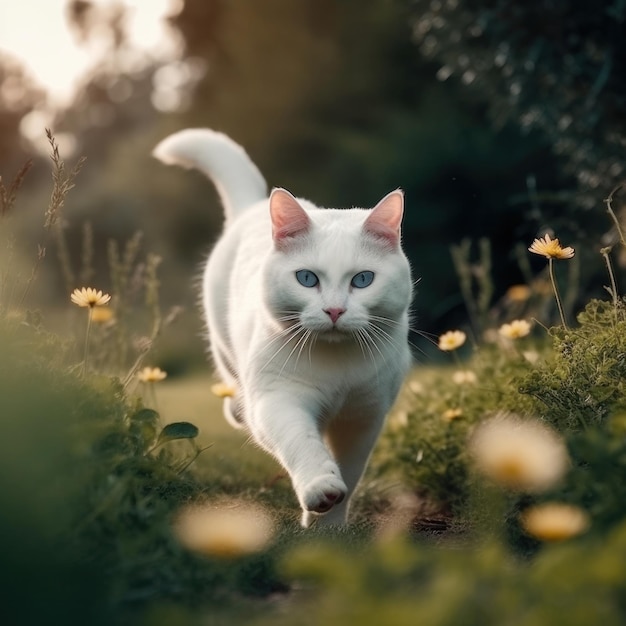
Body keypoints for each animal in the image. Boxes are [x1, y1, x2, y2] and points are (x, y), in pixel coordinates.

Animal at [153, 129, 412, 524]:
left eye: (363, 280)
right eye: (307, 279)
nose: (334, 310)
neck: (337, 365)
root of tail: (253, 205)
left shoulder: (363, 418)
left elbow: (350, 473)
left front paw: (329, 527)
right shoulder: (279, 399)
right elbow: (301, 443)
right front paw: (320, 490)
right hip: (226, 348)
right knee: (236, 385)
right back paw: (238, 408)